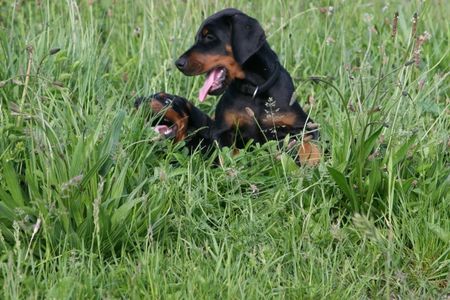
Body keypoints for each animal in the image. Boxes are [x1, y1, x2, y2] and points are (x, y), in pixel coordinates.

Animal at [137, 7, 320, 164]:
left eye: (209, 37)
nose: (178, 63)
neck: (253, 90)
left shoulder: (304, 124)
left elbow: (310, 143)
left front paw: (311, 161)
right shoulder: (221, 131)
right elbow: (230, 151)